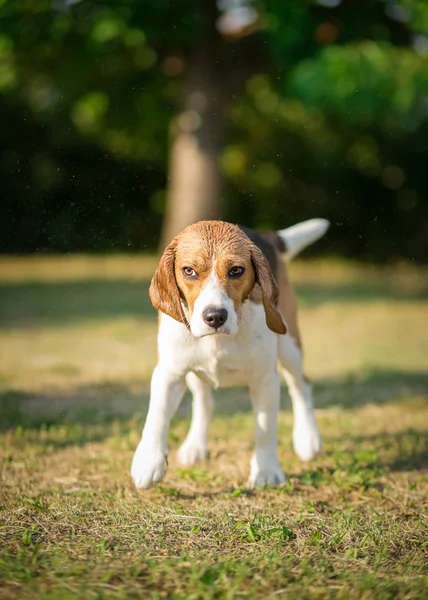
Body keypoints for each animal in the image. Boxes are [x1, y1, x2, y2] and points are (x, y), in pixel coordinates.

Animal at [132, 218, 330, 490]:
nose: (215, 316)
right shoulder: (169, 373)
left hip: (290, 345)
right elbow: (157, 416)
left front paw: (266, 471)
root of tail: (265, 236)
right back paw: (195, 445)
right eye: (189, 271)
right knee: (204, 401)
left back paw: (307, 438)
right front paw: (149, 462)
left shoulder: (265, 379)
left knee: (301, 385)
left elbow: (265, 428)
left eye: (236, 270)